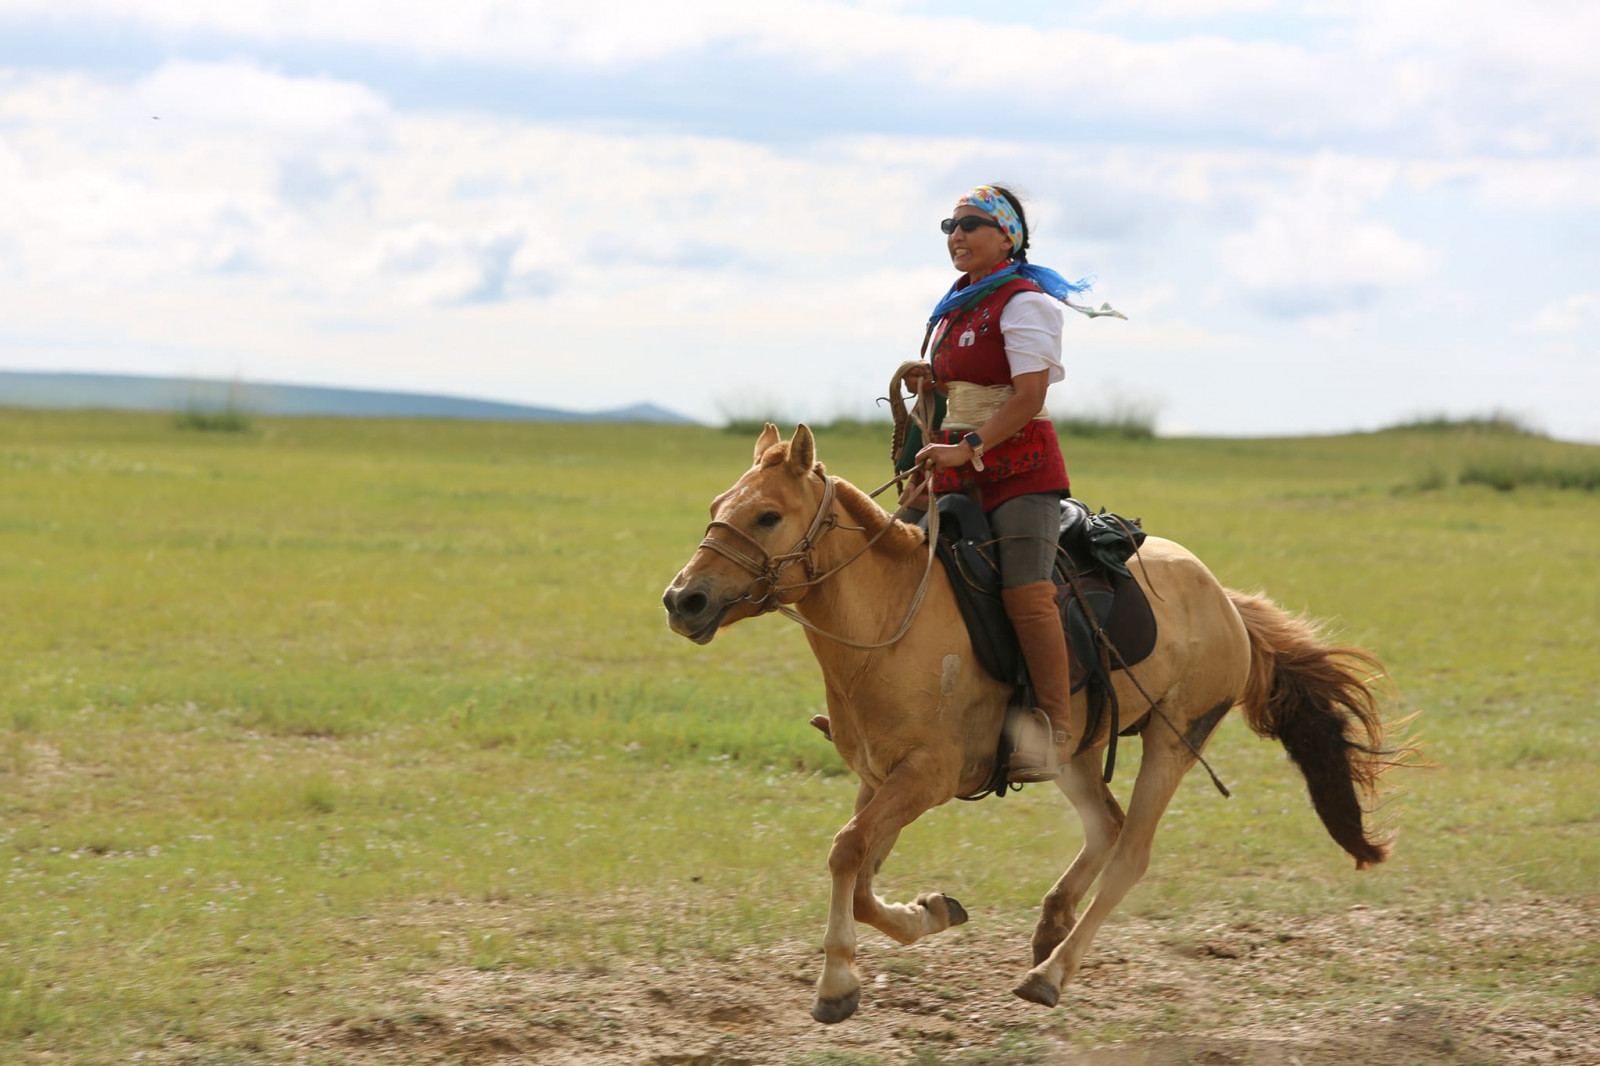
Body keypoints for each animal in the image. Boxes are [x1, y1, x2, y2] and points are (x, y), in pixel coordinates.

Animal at [662, 422, 1401, 1024]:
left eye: (767, 515)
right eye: (715, 509)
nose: (682, 600)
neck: (891, 621)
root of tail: (1224, 598)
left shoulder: (926, 777)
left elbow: (847, 852)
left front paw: (837, 983)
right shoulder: (879, 779)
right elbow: (862, 871)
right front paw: (931, 912)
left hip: (1175, 739)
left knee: (1131, 851)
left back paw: (1052, 972)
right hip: (1071, 751)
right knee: (1105, 825)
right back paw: (1052, 924)